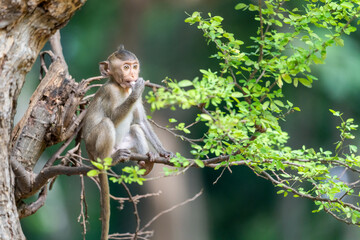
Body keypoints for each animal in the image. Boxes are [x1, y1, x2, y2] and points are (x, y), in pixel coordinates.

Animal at [82, 45, 172, 240]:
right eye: (125, 67)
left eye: (134, 66)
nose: (133, 75)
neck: (121, 88)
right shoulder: (110, 93)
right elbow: (113, 118)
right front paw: (137, 90)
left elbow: (140, 122)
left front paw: (163, 151)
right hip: (94, 147)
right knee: (107, 124)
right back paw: (110, 159)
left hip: (124, 145)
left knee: (135, 129)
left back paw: (146, 161)